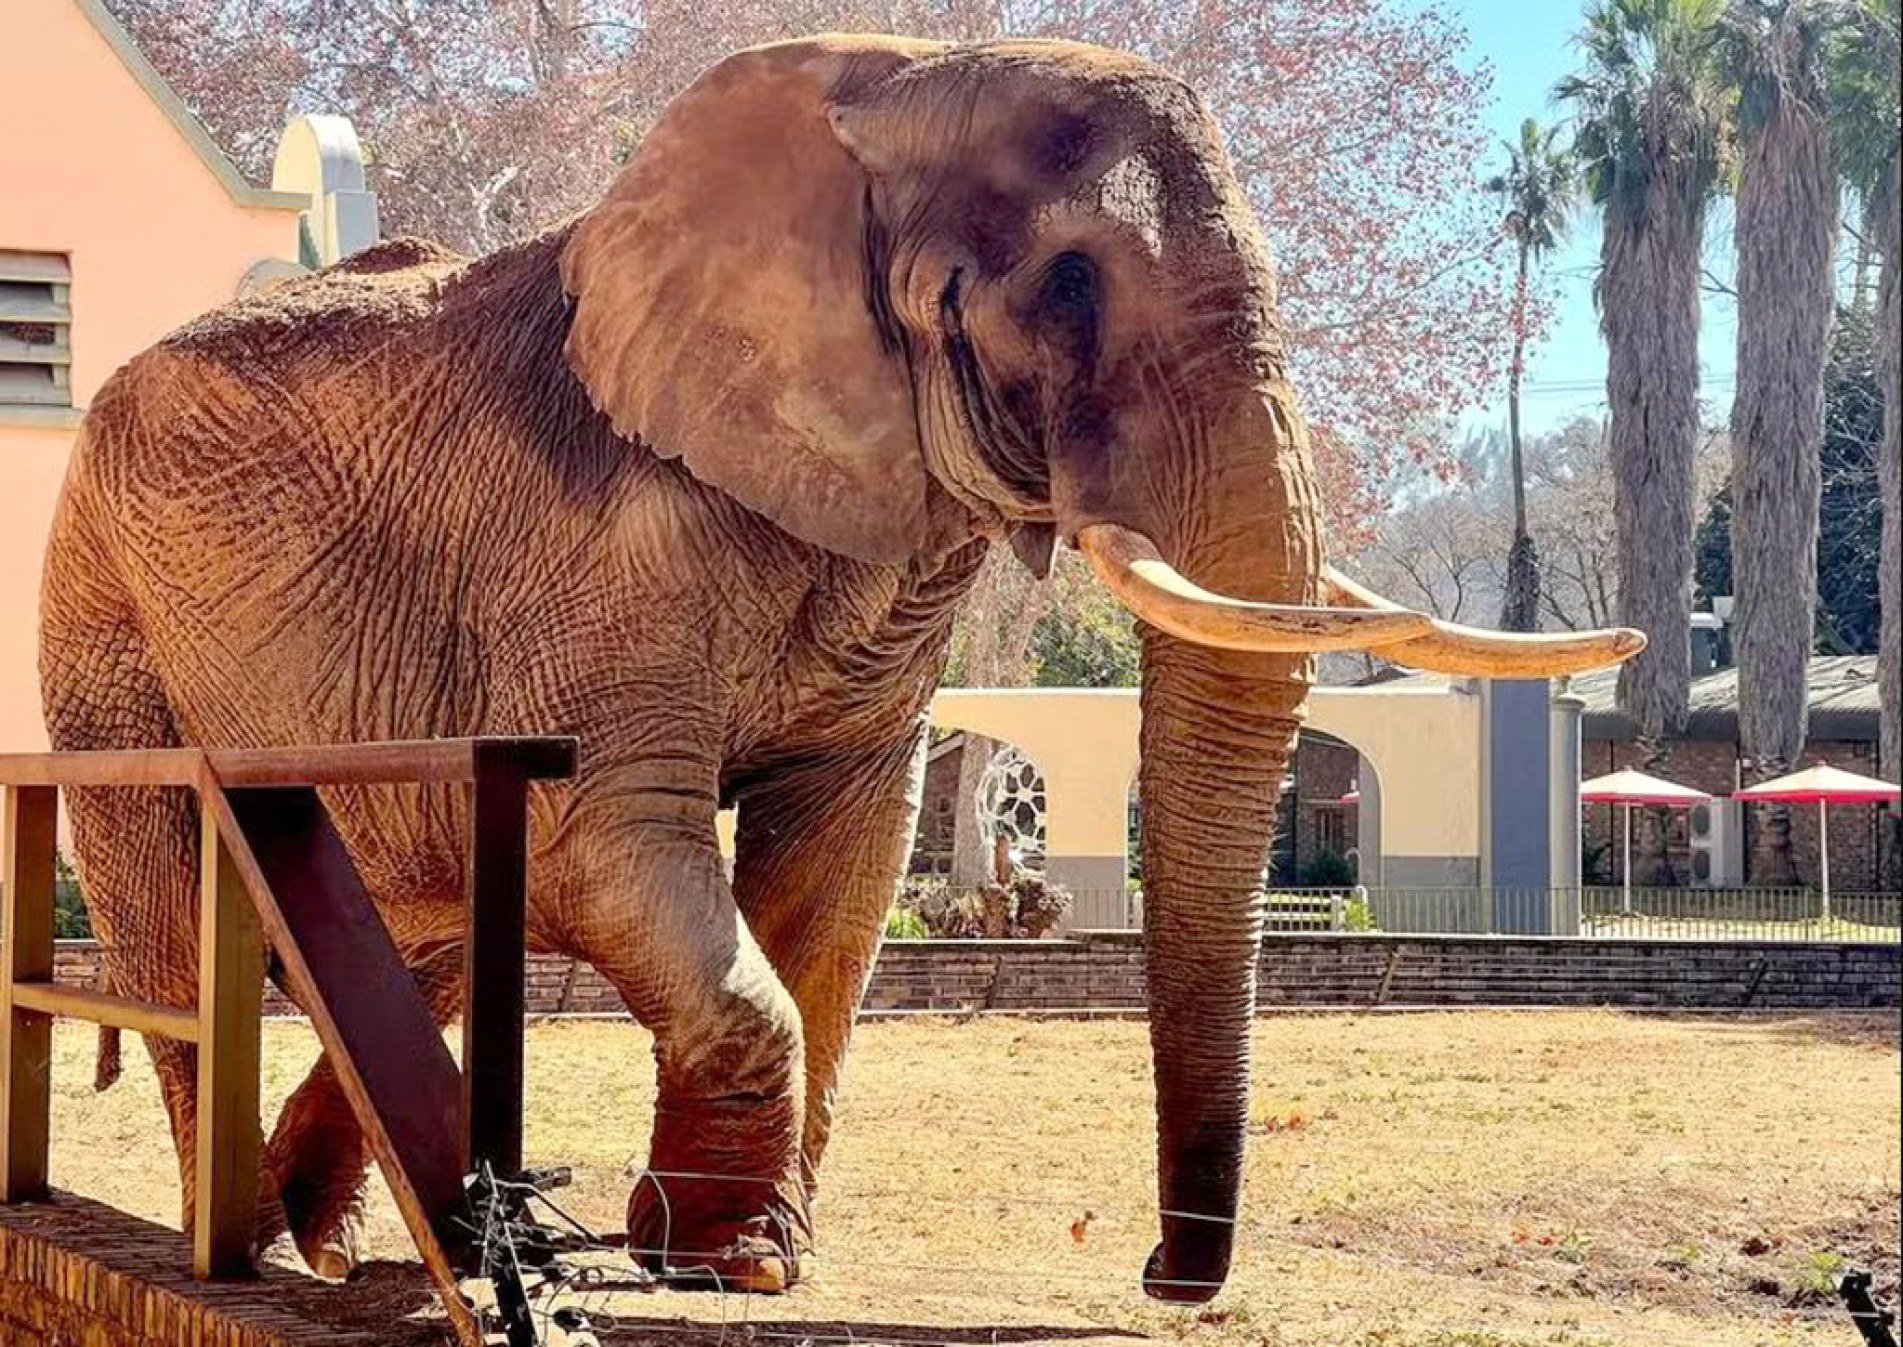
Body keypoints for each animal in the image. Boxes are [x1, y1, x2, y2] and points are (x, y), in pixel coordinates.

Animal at [39, 34, 1641, 1304]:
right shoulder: (594, 545)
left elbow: (841, 856)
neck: (889, 84)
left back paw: (333, 1248)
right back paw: (243, 1248)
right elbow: (599, 834)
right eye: (1069, 283)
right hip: (102, 612)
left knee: (401, 922)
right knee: (181, 920)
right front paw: (729, 1261)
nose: (1154, 1272)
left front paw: (732, 1257)